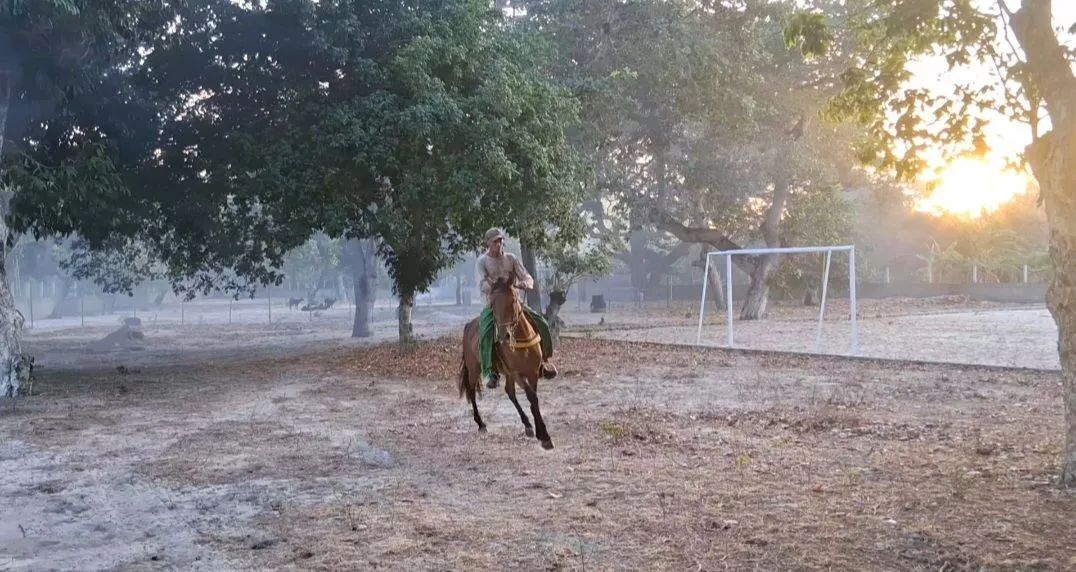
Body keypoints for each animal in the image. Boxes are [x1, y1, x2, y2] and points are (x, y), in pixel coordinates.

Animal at [458, 277, 553, 449]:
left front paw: (540, 433)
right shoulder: (516, 373)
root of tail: (468, 326)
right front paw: (544, 435)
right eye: (493, 304)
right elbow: (531, 396)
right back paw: (481, 424)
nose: (504, 335)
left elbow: (534, 399)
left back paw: (527, 425)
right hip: (474, 368)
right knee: (471, 390)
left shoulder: (533, 372)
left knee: (509, 392)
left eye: (513, 301)